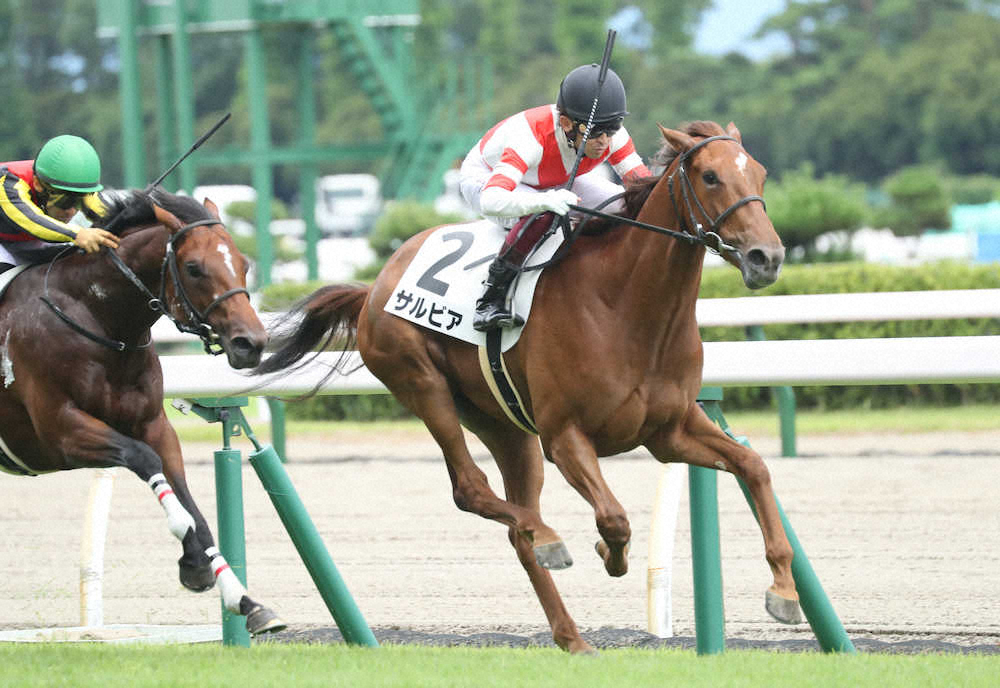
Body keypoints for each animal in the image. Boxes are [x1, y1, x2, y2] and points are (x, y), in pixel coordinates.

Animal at [0, 187, 286, 636]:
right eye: (193, 268)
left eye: (244, 264)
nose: (251, 343)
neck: (98, 320)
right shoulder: (61, 433)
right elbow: (144, 460)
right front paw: (189, 550)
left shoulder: (155, 425)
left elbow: (187, 497)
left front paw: (240, 596)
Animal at [260, 121, 796, 652]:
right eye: (710, 176)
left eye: (761, 174)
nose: (766, 257)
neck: (625, 308)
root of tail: (373, 286)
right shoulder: (565, 436)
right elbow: (614, 518)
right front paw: (607, 553)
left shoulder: (670, 431)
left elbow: (754, 466)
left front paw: (784, 591)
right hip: (423, 384)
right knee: (472, 489)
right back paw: (551, 541)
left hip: (505, 426)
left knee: (517, 528)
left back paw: (571, 633)